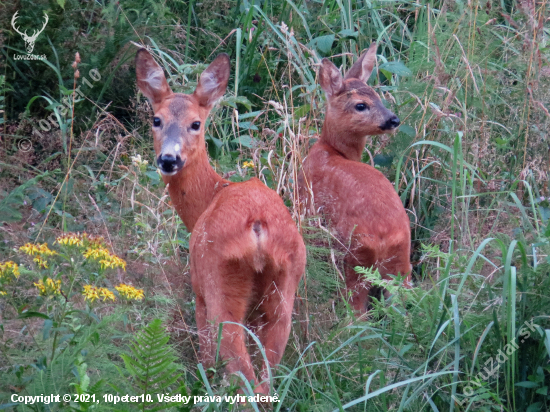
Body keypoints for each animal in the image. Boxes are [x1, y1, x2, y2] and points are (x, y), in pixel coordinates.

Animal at [134, 50, 306, 394]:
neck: (210, 196)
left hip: (219, 281)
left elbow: (206, 357)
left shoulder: (198, 290)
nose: (169, 159)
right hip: (284, 288)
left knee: (243, 375)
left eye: (195, 123)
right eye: (156, 120)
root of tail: (257, 226)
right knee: (266, 379)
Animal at [300, 43, 412, 314]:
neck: (331, 150)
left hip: (357, 257)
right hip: (402, 263)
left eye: (378, 98)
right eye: (361, 105)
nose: (393, 119)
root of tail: (387, 235)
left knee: (356, 310)